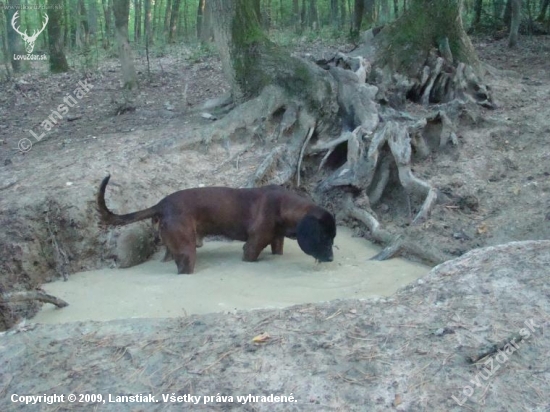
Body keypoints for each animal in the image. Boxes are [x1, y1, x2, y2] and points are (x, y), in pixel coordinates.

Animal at [97, 175, 336, 274]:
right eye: (323, 237)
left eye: (333, 238)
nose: (332, 259)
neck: (284, 206)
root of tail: (162, 204)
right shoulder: (251, 248)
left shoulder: (276, 241)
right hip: (187, 253)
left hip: (172, 248)